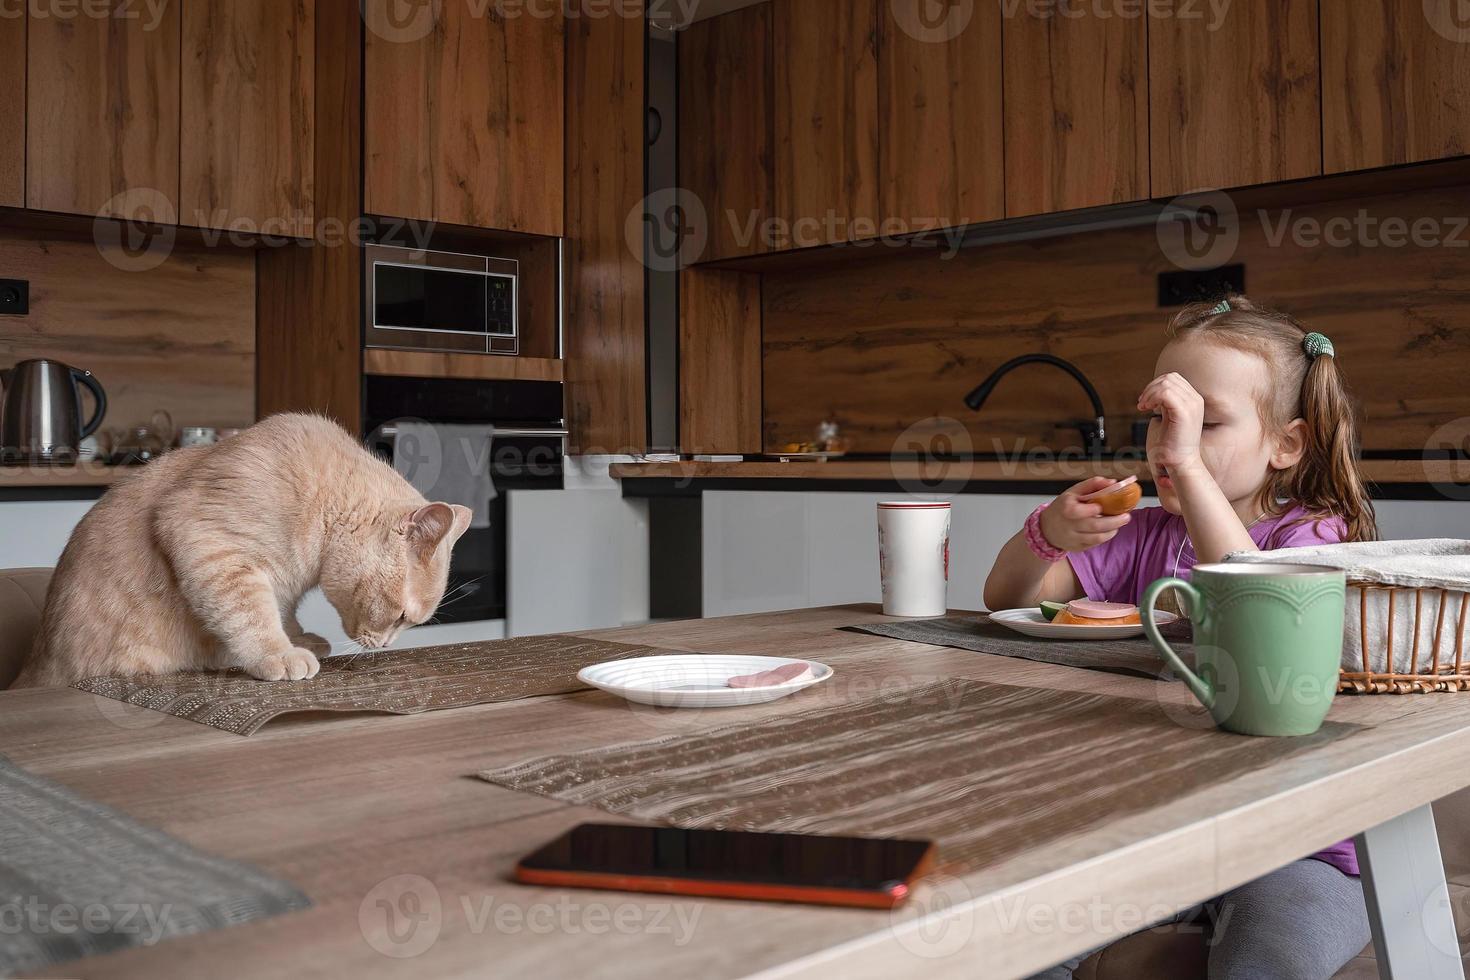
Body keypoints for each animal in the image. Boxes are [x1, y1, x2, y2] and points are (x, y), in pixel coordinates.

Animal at [11, 417, 470, 690]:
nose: (386, 646)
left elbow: (280, 613)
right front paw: (280, 654)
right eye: (402, 617)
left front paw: (298, 639)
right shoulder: (212, 544)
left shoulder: (279, 586)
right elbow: (252, 616)